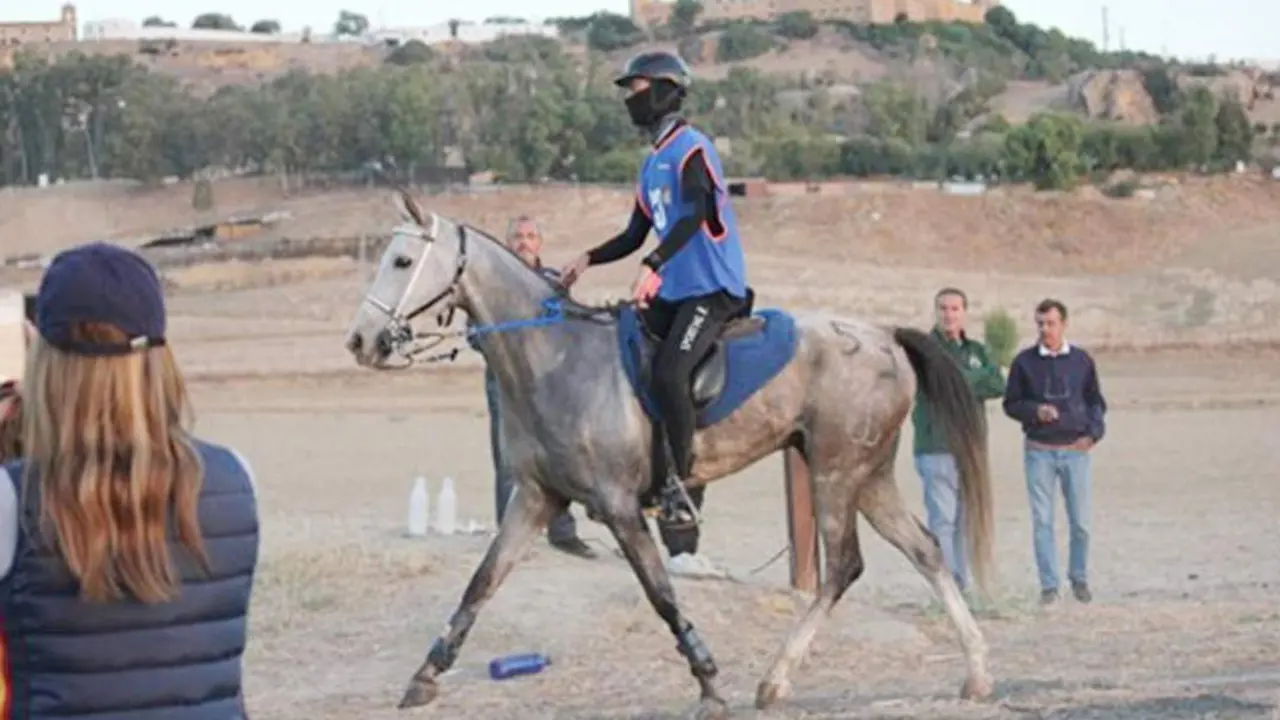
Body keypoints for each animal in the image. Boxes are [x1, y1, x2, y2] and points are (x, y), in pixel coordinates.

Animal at [344, 190, 996, 718]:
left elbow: (661, 593)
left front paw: (708, 683)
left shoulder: (618, 506)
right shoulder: (534, 498)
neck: (553, 356)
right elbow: (481, 583)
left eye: (402, 261)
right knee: (925, 549)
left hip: (835, 474)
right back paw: (976, 673)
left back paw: (775, 680)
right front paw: (425, 675)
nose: (360, 341)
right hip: (869, 475)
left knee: (842, 567)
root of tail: (884, 336)